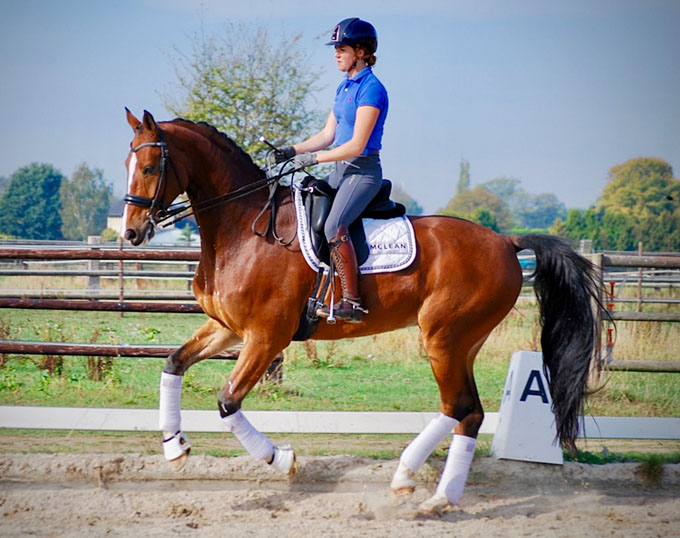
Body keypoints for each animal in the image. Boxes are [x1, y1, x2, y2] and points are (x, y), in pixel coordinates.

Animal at [122, 109, 602, 515]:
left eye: (150, 167)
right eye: (128, 163)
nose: (131, 233)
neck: (242, 228)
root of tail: (505, 240)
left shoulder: (266, 335)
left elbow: (227, 402)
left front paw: (282, 459)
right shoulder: (227, 328)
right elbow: (173, 363)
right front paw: (175, 448)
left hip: (444, 338)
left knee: (458, 405)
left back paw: (414, 485)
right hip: (464, 342)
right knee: (469, 412)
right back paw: (433, 494)